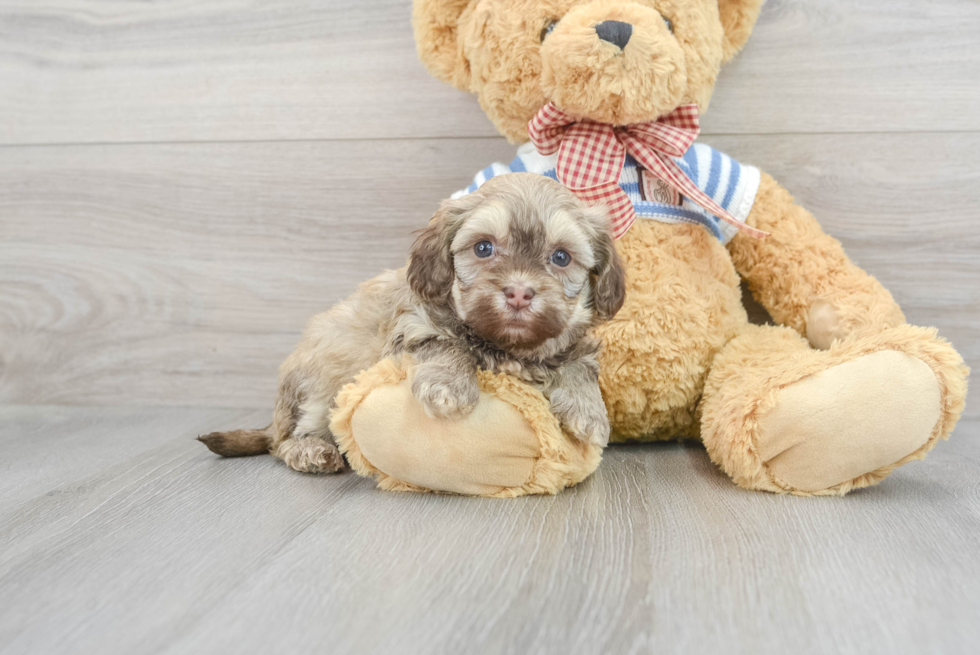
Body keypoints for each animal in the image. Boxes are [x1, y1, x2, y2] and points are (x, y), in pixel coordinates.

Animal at [200, 172, 628, 474]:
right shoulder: (413, 326)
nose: (520, 293)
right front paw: (449, 386)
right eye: (484, 248)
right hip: (319, 385)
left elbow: (578, 362)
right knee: (284, 440)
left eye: (561, 257)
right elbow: (447, 343)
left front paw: (588, 411)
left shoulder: (571, 342)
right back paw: (310, 450)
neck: (504, 345)